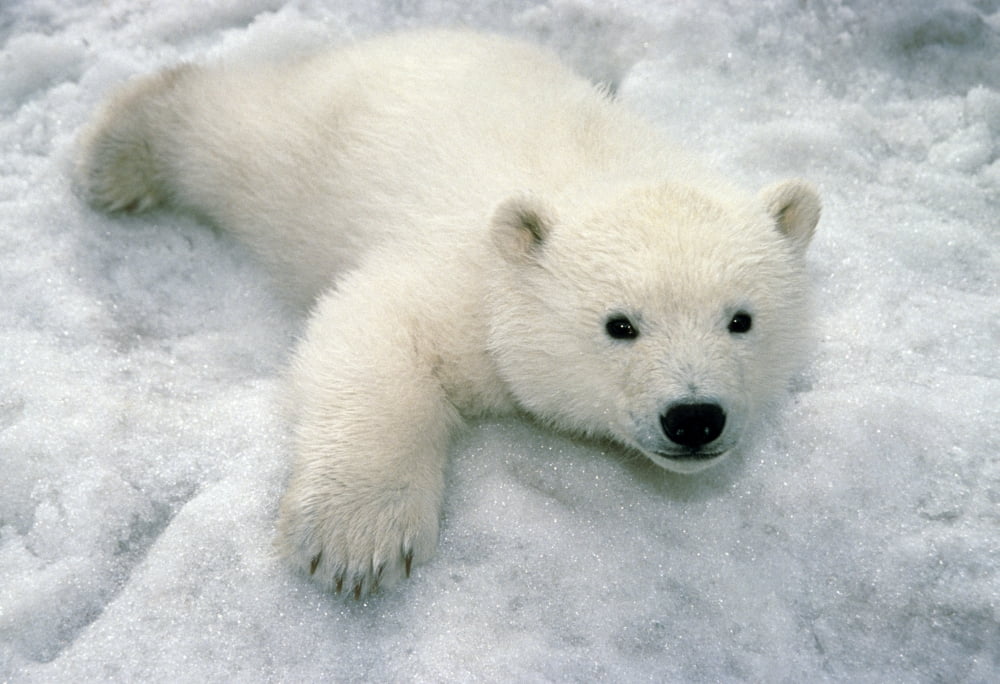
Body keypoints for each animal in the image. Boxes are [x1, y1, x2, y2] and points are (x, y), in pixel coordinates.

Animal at [76, 29, 820, 598]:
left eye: (741, 319)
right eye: (620, 324)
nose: (694, 417)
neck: (601, 175)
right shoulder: (465, 280)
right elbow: (373, 327)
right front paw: (356, 539)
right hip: (309, 156)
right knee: (230, 141)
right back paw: (119, 151)